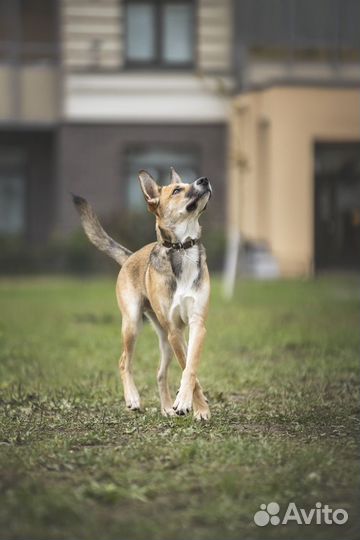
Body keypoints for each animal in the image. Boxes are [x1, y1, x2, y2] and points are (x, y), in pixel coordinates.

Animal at [73, 169, 212, 422]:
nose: (204, 180)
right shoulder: (175, 330)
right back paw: (133, 399)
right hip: (133, 324)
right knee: (123, 362)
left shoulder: (197, 325)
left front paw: (196, 407)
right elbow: (187, 366)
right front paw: (192, 404)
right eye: (177, 190)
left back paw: (167, 407)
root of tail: (130, 256)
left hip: (164, 339)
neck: (182, 248)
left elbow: (190, 366)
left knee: (160, 373)